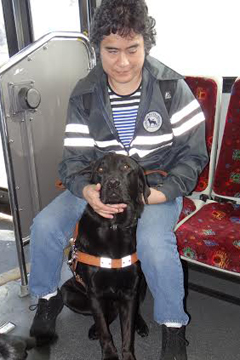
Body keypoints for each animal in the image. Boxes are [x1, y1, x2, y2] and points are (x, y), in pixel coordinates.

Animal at [62, 153, 151, 360]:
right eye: (101, 170)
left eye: (126, 167)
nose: (112, 183)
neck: (114, 226)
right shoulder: (94, 293)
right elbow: (104, 329)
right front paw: (110, 354)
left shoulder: (130, 291)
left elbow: (127, 331)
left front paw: (128, 355)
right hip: (67, 293)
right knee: (107, 315)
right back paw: (94, 328)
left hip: (142, 283)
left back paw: (141, 324)